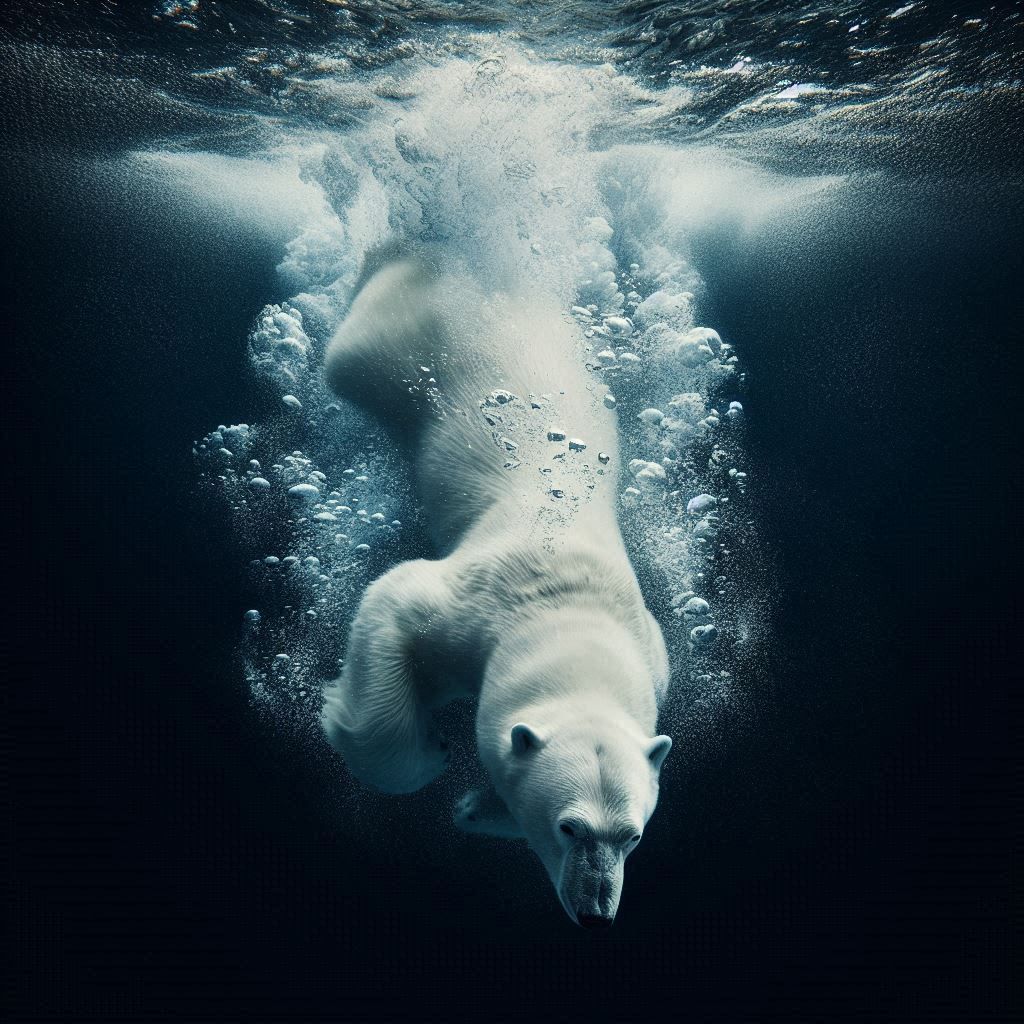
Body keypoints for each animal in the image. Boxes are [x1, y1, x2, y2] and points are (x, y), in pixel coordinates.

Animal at [320, 243, 673, 927]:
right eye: (569, 827)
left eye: (632, 835)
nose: (596, 914)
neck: (572, 610)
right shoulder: (477, 599)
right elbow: (394, 597)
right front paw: (429, 752)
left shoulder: (653, 652)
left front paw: (475, 805)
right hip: (414, 341)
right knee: (356, 353)